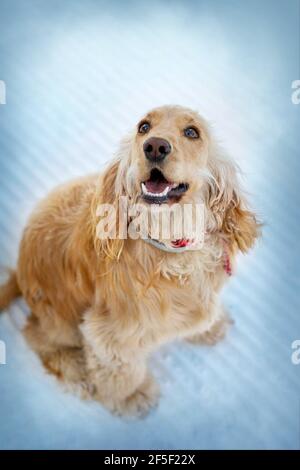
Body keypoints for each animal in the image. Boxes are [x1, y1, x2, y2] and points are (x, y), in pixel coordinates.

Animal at [0, 105, 258, 414]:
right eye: (143, 127)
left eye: (192, 132)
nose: (155, 146)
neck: (171, 245)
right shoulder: (110, 333)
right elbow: (120, 370)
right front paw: (131, 397)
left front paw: (211, 326)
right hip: (59, 320)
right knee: (38, 337)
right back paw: (77, 372)